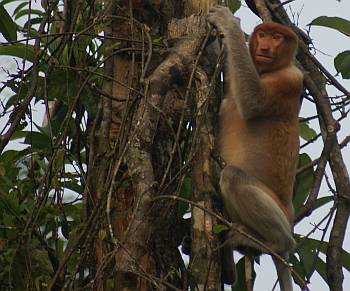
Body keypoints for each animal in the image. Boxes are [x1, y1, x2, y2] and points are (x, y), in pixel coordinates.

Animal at [206, 5, 302, 291]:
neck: (267, 71)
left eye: (278, 37)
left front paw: (229, 23)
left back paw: (277, 243)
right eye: (264, 34)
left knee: (233, 176)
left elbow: (252, 101)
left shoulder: (291, 80)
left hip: (278, 212)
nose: (266, 47)